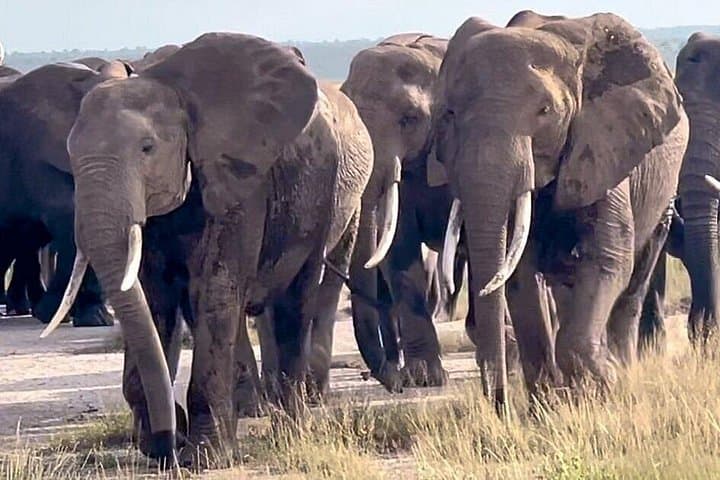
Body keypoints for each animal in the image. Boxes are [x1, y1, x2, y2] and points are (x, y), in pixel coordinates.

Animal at [45, 33, 373, 465]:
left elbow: (215, 289)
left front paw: (204, 456)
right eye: (70, 154)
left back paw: (291, 431)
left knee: (296, 298)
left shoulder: (240, 185)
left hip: (325, 195)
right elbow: (155, 299)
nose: (168, 441)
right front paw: (163, 443)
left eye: (147, 148)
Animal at [433, 11, 688, 408]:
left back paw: (623, 370)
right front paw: (548, 407)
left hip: (663, 191)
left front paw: (605, 388)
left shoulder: (601, 144)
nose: (501, 408)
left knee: (634, 281)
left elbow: (606, 259)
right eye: (450, 114)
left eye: (545, 111)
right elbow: (521, 275)